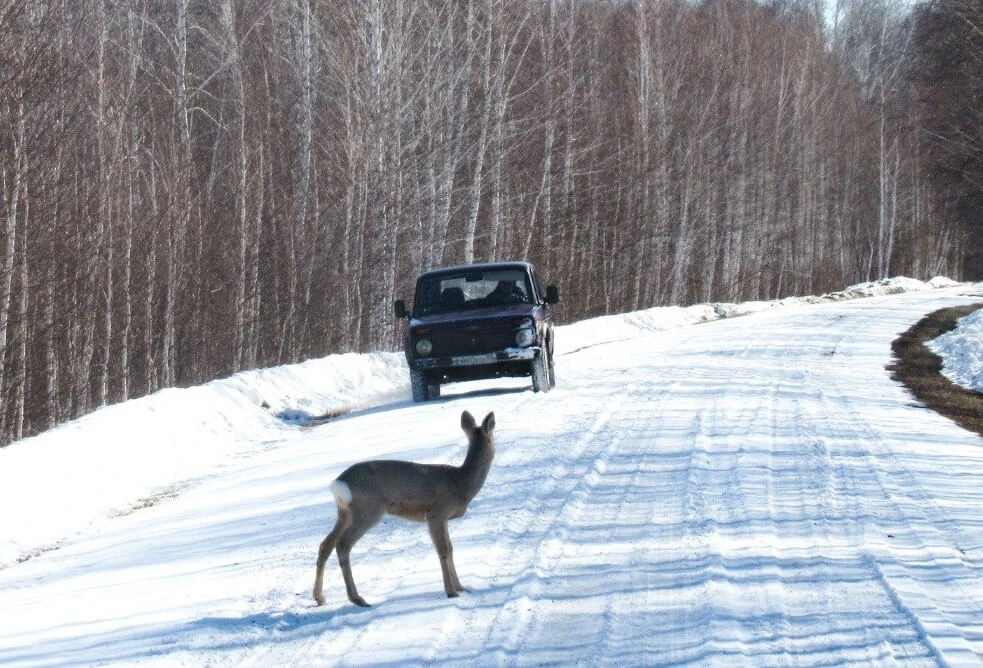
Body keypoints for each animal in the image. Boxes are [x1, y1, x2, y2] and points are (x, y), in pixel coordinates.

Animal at [314, 410, 496, 608]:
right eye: (494, 437)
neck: (461, 483)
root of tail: (338, 483)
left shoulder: (443, 518)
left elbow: (450, 548)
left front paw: (461, 587)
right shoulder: (436, 513)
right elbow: (443, 550)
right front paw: (451, 592)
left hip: (345, 513)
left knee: (326, 544)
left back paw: (319, 597)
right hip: (368, 510)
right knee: (343, 544)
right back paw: (357, 598)